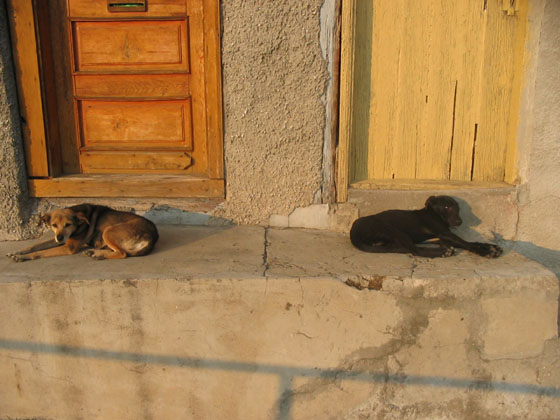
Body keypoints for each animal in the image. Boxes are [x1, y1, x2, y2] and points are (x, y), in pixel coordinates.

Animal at [7, 204, 158, 262]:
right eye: (54, 225)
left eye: (68, 224)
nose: (59, 238)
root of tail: (153, 235)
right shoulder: (57, 239)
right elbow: (35, 246)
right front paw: (17, 252)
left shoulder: (68, 247)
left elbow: (40, 252)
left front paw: (22, 257)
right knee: (120, 251)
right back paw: (95, 253)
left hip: (108, 231)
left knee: (122, 253)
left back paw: (97, 254)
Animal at [350, 195, 503, 258]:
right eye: (446, 207)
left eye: (457, 208)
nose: (459, 222)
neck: (433, 213)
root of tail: (353, 232)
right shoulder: (444, 233)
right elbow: (466, 243)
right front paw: (486, 252)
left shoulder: (444, 237)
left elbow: (470, 242)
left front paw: (491, 246)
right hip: (395, 231)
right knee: (415, 251)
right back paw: (443, 252)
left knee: (405, 248)